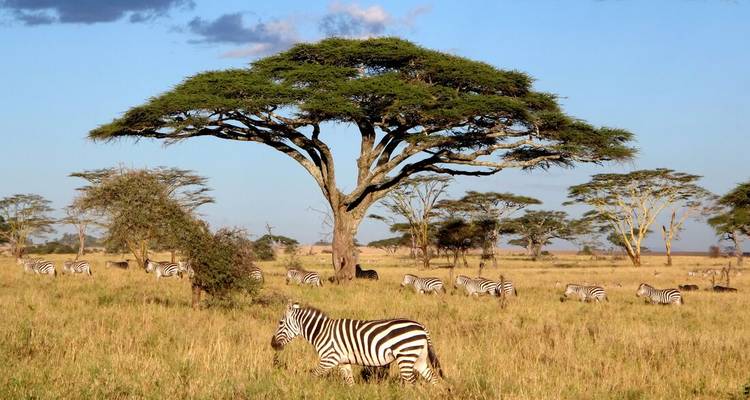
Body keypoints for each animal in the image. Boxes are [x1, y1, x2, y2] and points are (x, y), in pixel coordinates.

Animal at [271, 302, 443, 385]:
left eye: (280, 323)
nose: (272, 344)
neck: (321, 331)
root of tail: (421, 326)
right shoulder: (343, 361)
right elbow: (350, 382)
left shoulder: (329, 358)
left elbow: (313, 375)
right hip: (418, 357)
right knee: (433, 379)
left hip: (405, 357)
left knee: (412, 382)